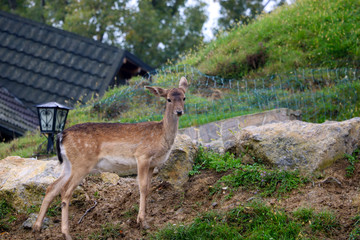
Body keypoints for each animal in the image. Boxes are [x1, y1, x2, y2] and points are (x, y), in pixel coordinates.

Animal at [32, 77, 190, 240]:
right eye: (169, 99)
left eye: (184, 97)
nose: (179, 111)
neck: (161, 136)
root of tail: (61, 135)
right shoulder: (142, 156)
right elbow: (142, 187)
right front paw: (141, 222)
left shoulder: (153, 164)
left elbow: (148, 188)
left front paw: (144, 220)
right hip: (82, 163)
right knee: (65, 191)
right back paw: (66, 233)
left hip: (68, 164)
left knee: (52, 188)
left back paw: (36, 228)